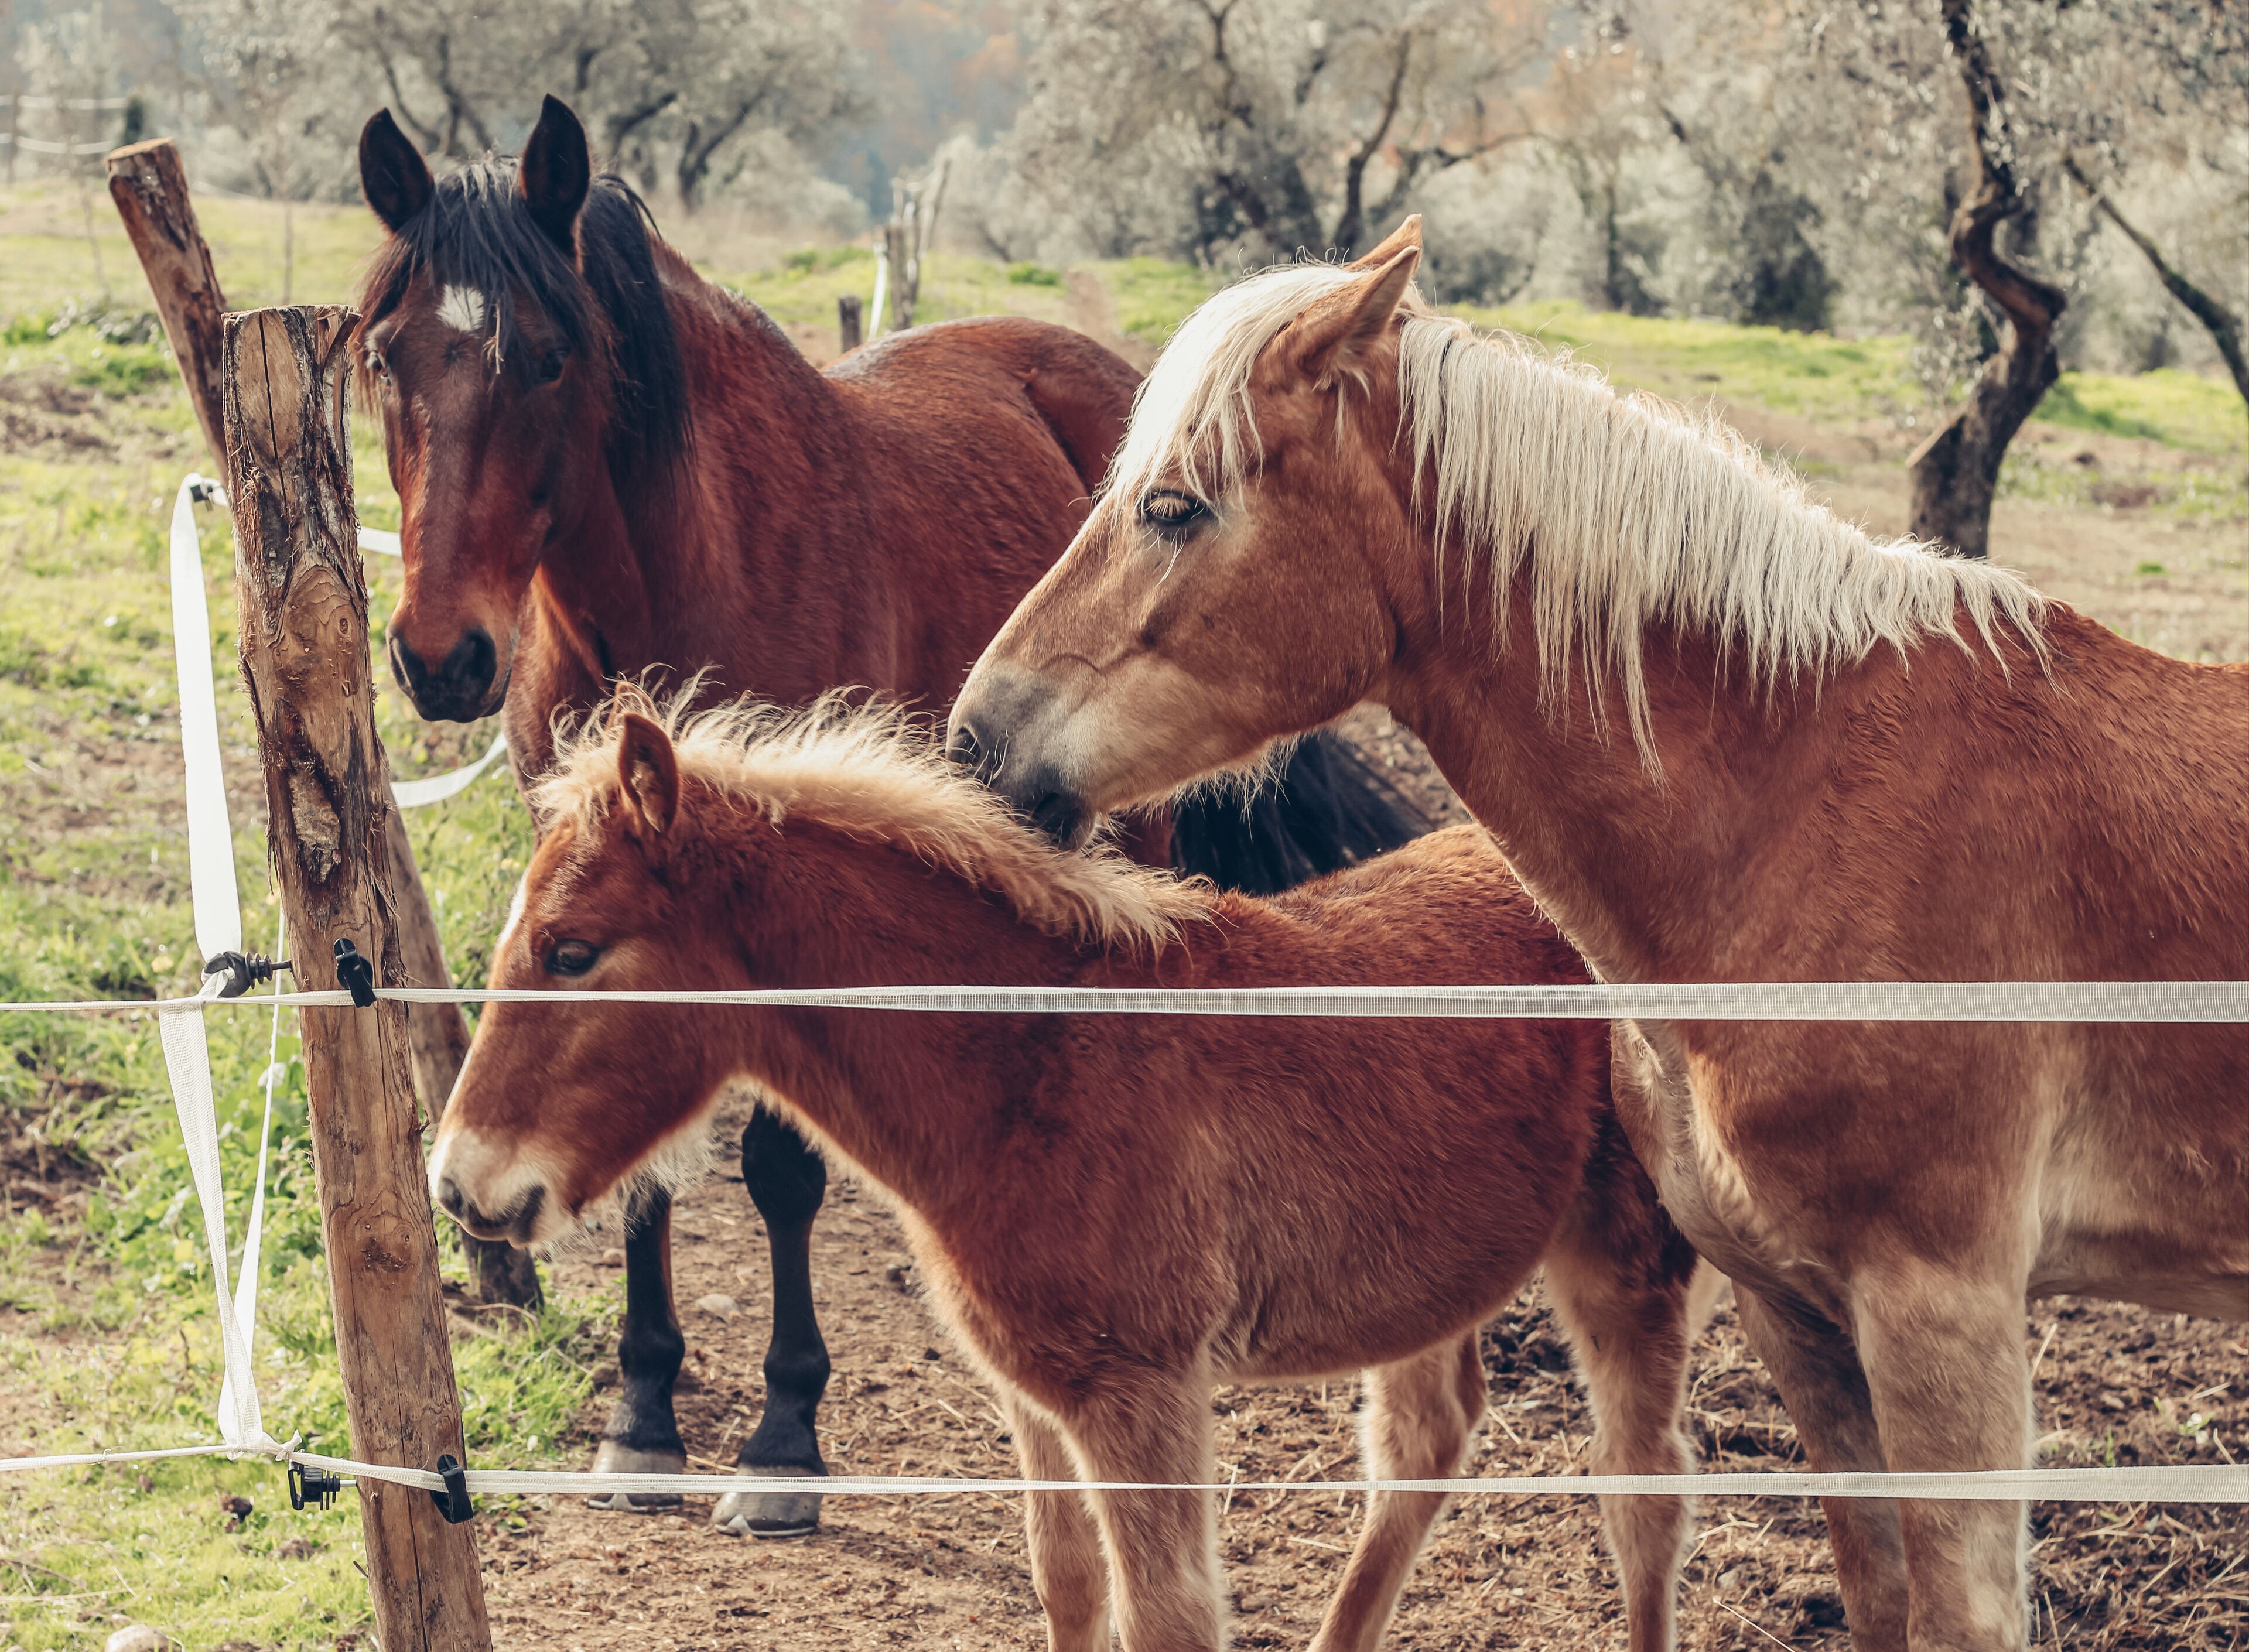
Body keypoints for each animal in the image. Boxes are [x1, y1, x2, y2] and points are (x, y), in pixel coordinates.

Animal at [351, 98, 1427, 1535]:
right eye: (385, 355)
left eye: (547, 357)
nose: (440, 656)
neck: (694, 567)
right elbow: (642, 1155)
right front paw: (644, 1419)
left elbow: (780, 1169)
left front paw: (783, 1442)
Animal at [428, 690, 1703, 1652]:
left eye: (573, 951)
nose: (458, 1183)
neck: (1033, 1062)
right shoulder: (1036, 1395)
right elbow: (1073, 1591)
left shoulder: (1140, 1396)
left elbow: (1169, 1617)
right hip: (1424, 1273)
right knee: (1426, 1442)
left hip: (1625, 1250)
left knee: (1642, 1495)